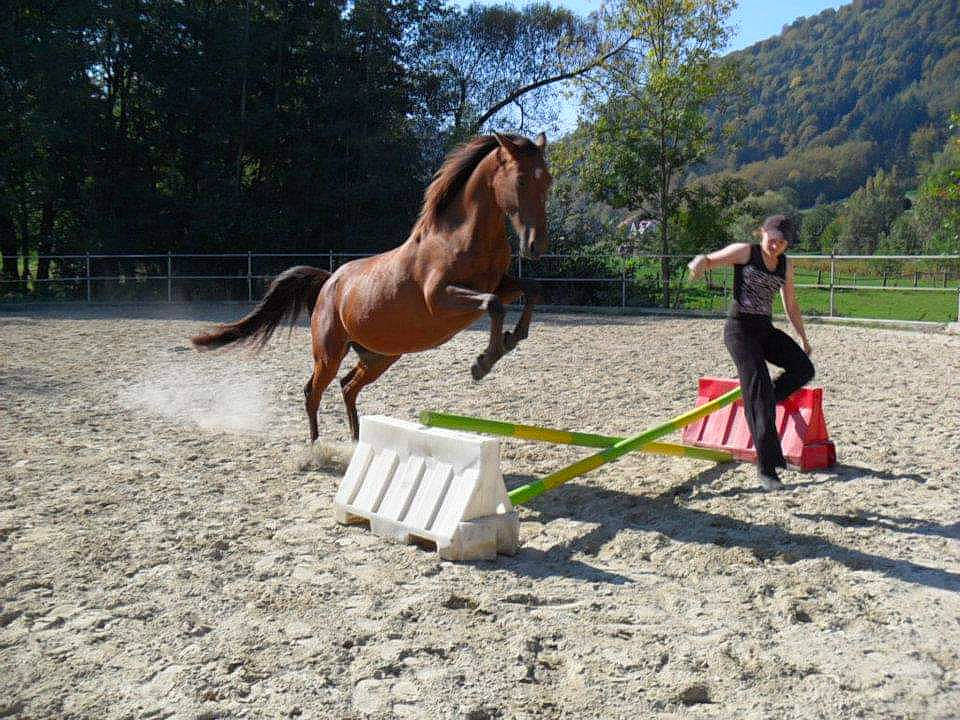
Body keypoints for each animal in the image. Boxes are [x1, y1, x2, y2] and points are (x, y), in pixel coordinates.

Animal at [191, 132, 552, 441]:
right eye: (521, 180)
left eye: (547, 180)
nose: (536, 247)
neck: (461, 237)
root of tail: (328, 283)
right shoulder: (439, 300)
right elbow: (493, 304)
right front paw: (484, 362)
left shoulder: (500, 284)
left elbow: (530, 288)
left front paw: (512, 338)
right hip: (330, 353)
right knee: (313, 391)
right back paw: (316, 449)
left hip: (380, 356)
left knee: (347, 386)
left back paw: (355, 441)